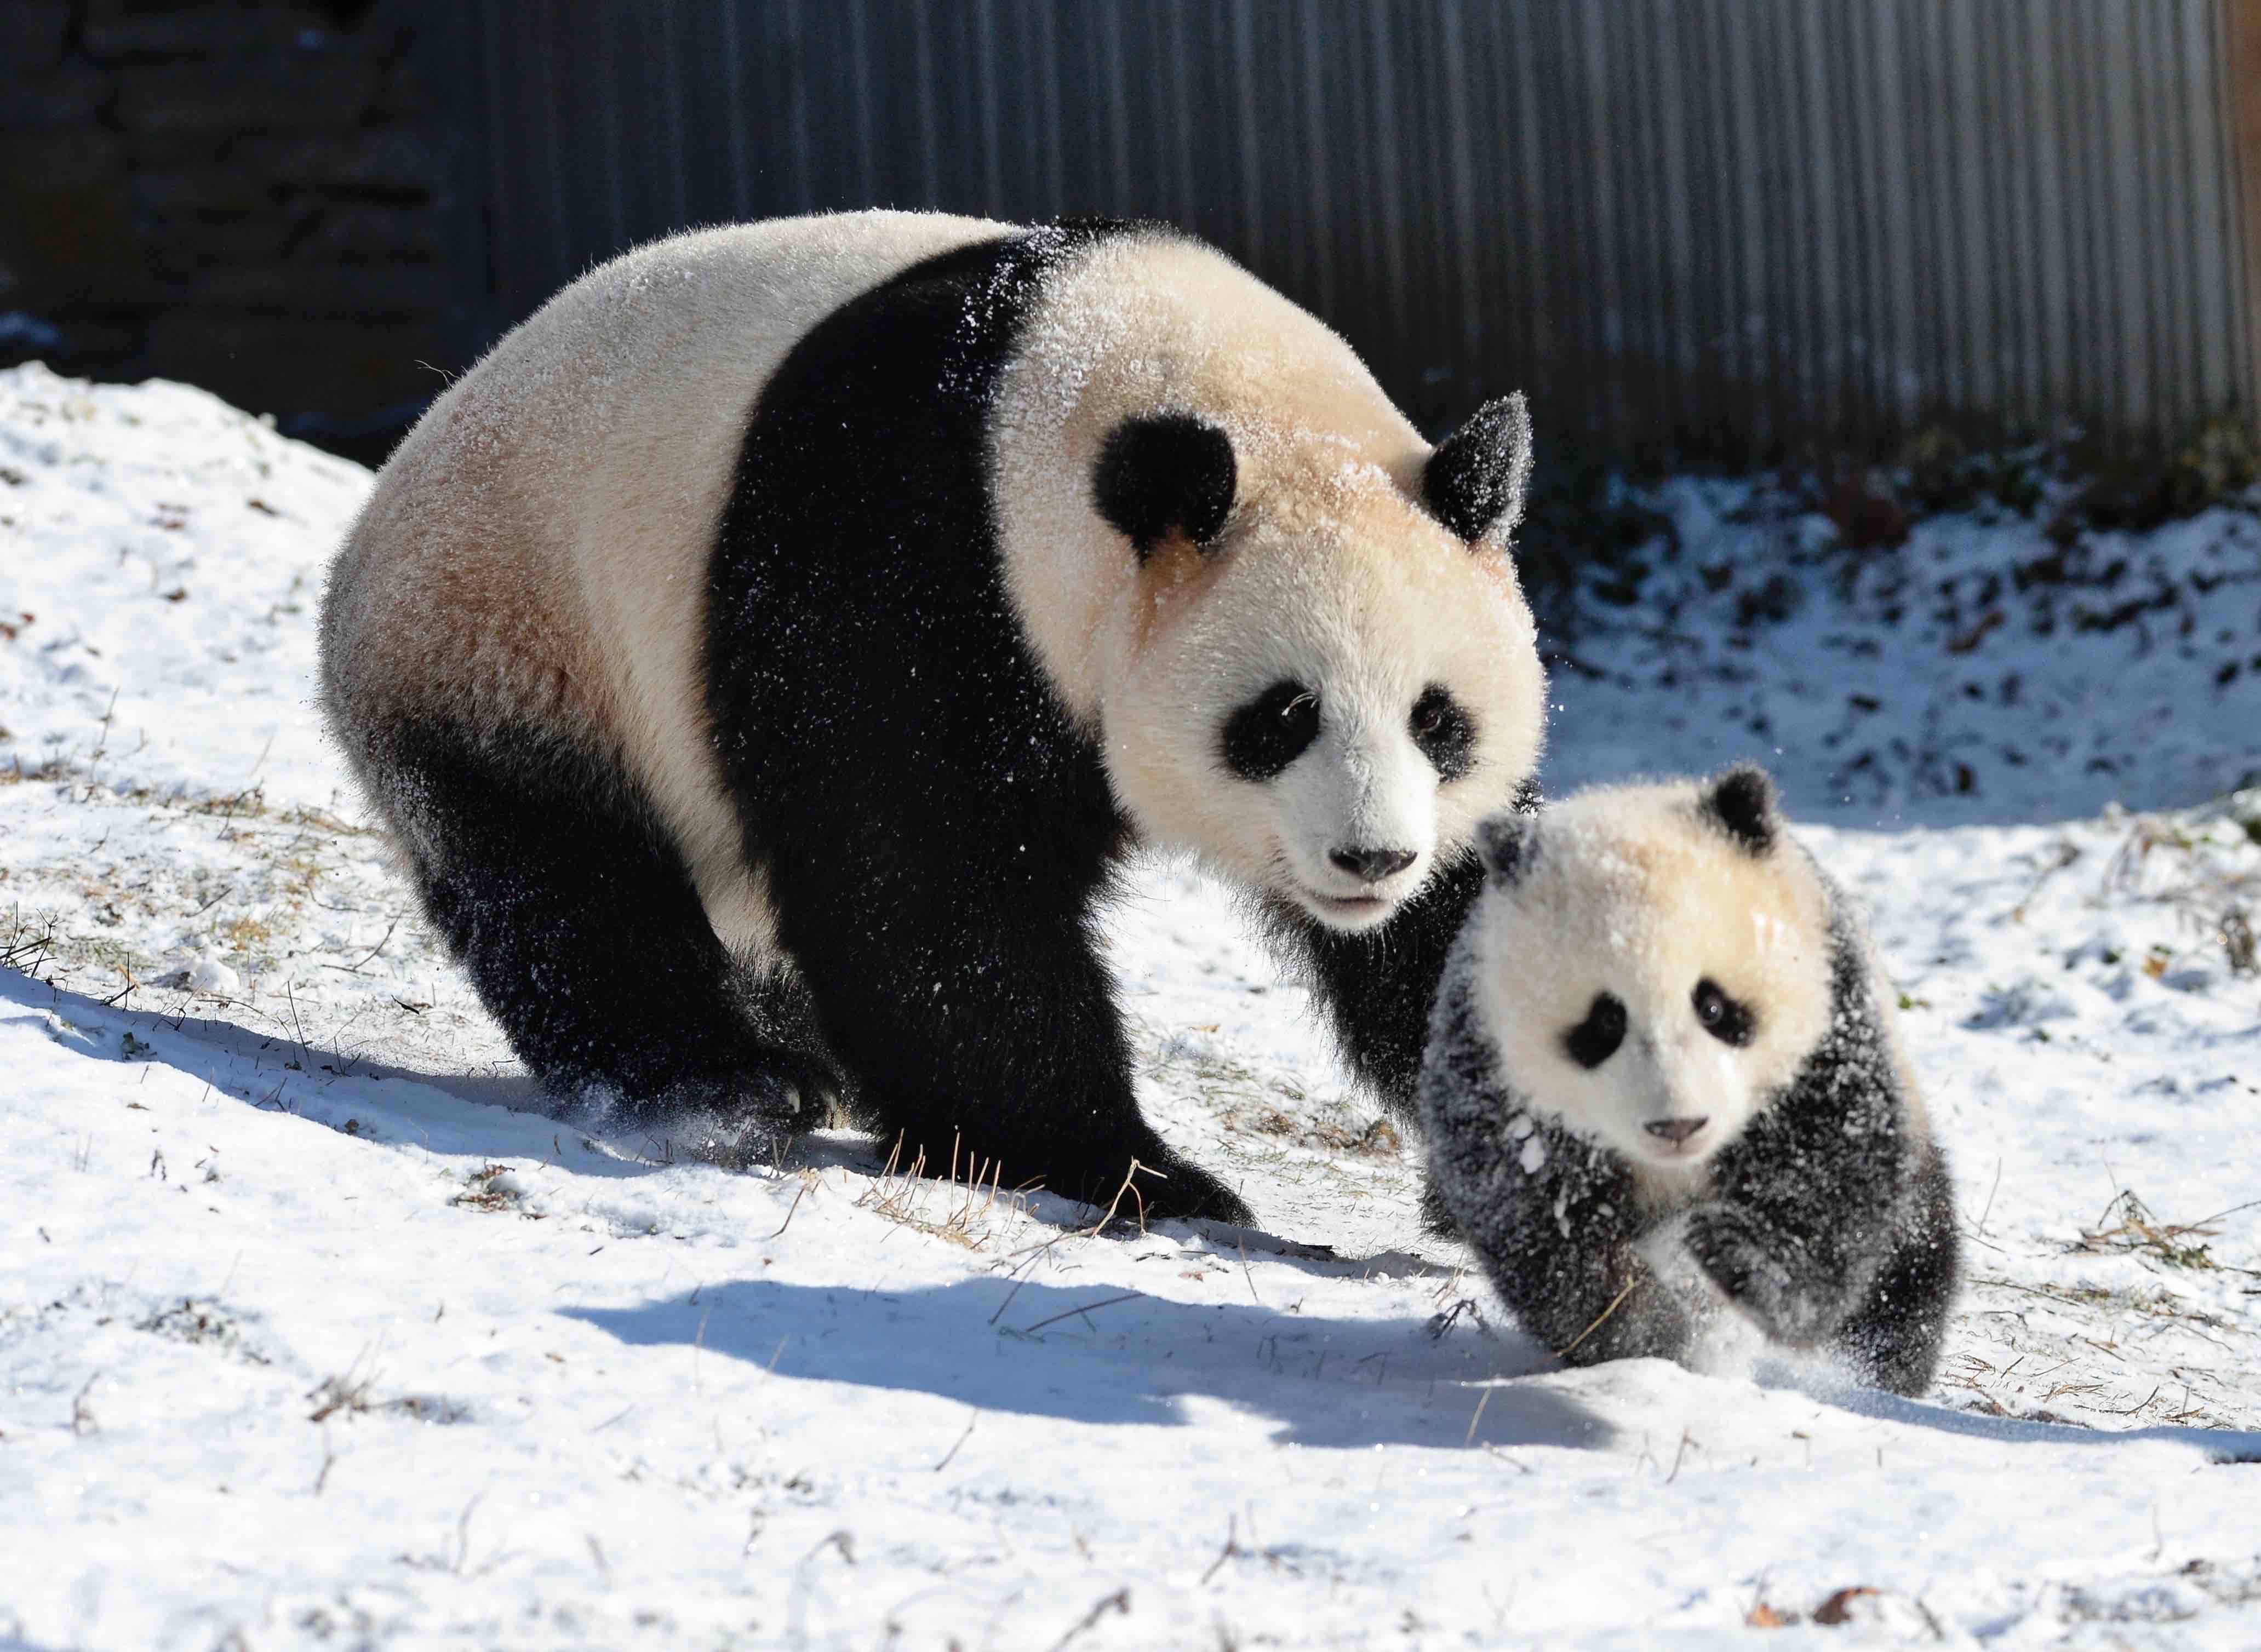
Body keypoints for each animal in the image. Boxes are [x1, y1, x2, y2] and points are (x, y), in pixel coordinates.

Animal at [323, 213, 1555, 1220]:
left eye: (1438, 721)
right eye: (1281, 715)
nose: (1372, 858)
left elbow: (1460, 935)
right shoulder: (898, 564)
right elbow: (923, 889)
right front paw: (1132, 1172)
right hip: (515, 636)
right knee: (566, 883)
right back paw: (723, 1085)